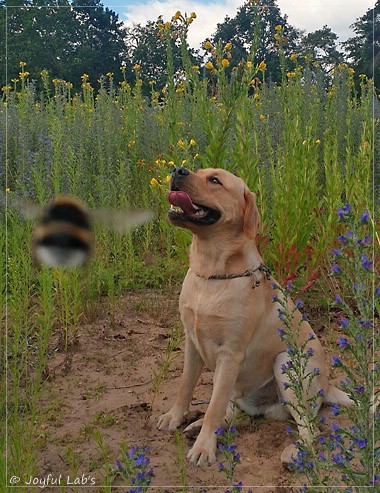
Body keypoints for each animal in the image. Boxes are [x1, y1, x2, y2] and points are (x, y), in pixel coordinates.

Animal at [157, 165, 350, 466]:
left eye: (215, 180)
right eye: (198, 170)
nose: (178, 169)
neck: (213, 273)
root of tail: (327, 386)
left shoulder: (230, 354)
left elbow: (213, 407)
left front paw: (204, 449)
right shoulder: (191, 343)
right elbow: (185, 387)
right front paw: (175, 417)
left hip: (285, 363)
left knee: (309, 427)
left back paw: (295, 452)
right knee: (232, 413)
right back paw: (197, 426)